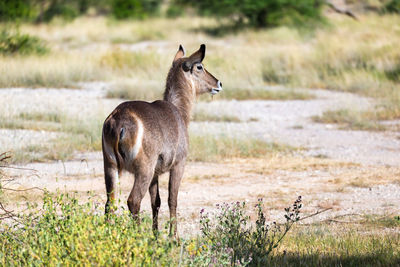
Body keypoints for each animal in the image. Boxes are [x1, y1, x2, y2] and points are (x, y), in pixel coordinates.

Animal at [102, 44, 222, 237]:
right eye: (200, 66)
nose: (218, 83)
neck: (179, 112)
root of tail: (118, 121)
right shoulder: (179, 163)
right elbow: (172, 199)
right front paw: (174, 237)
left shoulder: (156, 173)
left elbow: (156, 201)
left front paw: (156, 235)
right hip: (143, 169)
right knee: (133, 200)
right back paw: (138, 237)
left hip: (110, 165)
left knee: (110, 203)